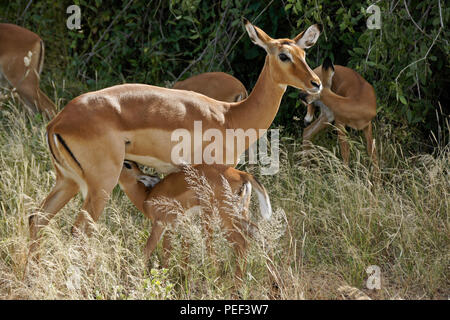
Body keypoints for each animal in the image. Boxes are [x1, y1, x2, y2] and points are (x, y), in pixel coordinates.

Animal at [118, 160, 270, 280]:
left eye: (127, 164)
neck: (146, 197)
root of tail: (241, 174)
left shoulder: (161, 224)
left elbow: (150, 249)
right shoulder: (175, 225)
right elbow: (173, 251)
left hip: (223, 219)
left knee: (242, 243)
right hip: (240, 215)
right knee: (259, 234)